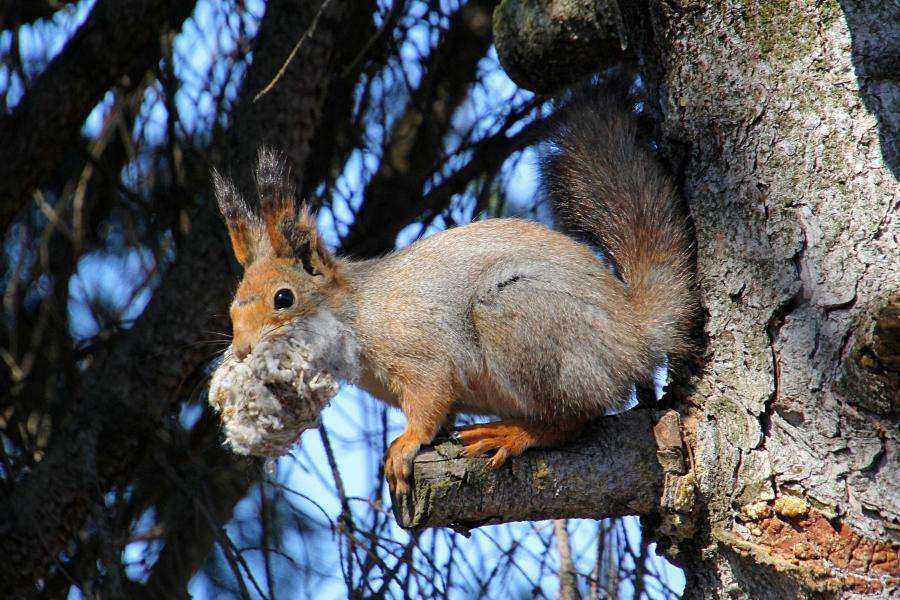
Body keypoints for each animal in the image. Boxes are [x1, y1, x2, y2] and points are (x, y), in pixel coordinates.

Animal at [213, 82, 696, 494]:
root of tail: (632, 336)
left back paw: (516, 432)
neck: (358, 309)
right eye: (232, 309)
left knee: (578, 416)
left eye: (284, 299)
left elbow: (430, 397)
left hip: (518, 315)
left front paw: (407, 444)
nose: (243, 351)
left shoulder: (419, 351)